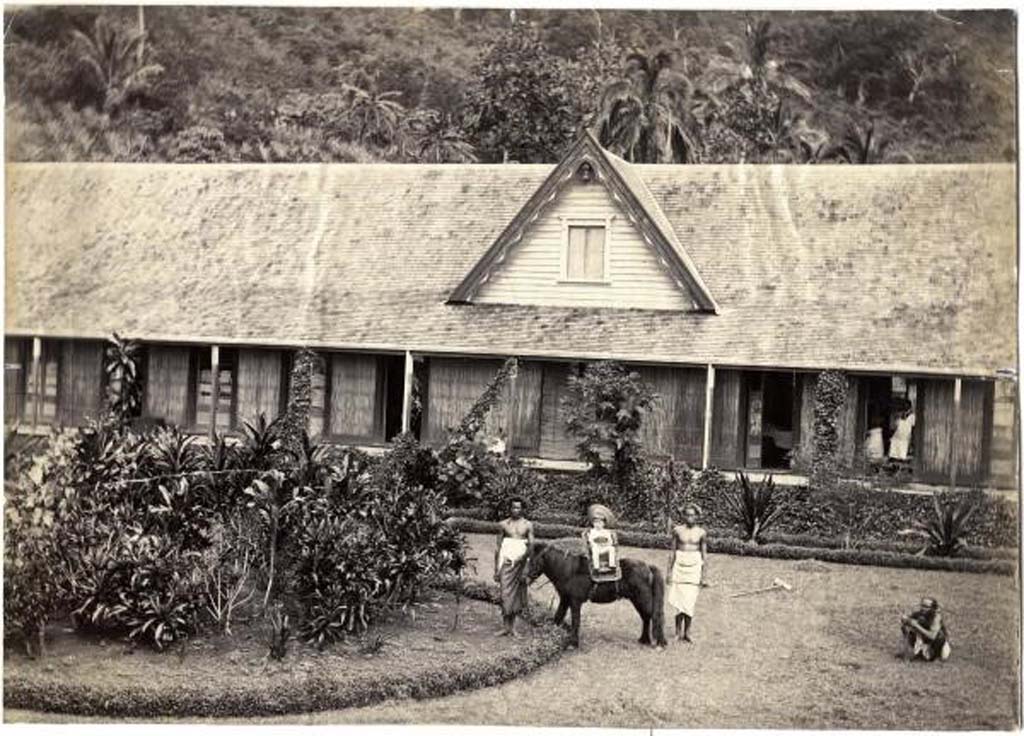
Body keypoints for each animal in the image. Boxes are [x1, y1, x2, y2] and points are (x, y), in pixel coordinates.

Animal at [524, 536, 667, 646]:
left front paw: (573, 643)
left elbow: (576, 621)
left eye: (533, 558)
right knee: (646, 617)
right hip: (637, 600)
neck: (568, 570)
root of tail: (648, 566)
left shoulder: (575, 601)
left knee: (654, 616)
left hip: (642, 599)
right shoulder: (565, 599)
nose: (524, 576)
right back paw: (644, 640)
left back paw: (659, 642)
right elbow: (558, 617)